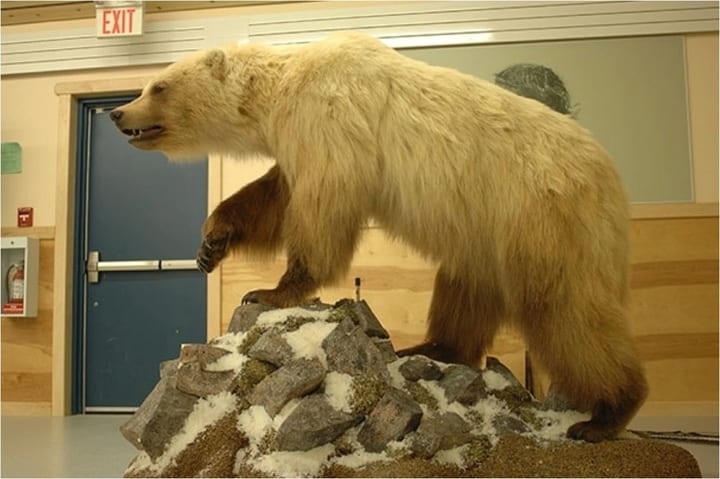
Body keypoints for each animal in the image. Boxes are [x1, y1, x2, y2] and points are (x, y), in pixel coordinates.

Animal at [110, 31, 647, 442]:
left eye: (158, 85)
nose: (118, 113)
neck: (283, 88)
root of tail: (613, 183)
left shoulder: (331, 120)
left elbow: (321, 206)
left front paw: (270, 289)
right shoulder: (301, 138)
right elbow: (276, 193)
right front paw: (211, 243)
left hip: (540, 215)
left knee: (565, 308)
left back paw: (606, 414)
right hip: (483, 235)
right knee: (467, 287)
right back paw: (431, 348)